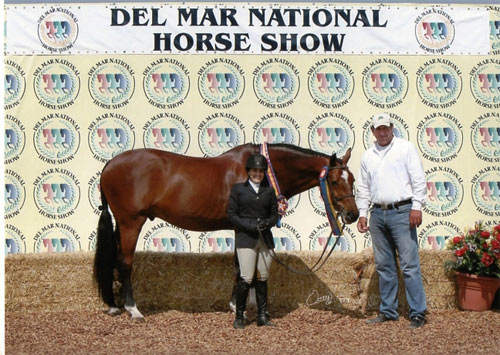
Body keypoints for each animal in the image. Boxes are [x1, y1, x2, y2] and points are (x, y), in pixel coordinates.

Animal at [94, 143, 360, 322]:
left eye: (354, 180)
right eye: (334, 181)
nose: (353, 215)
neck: (260, 172)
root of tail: (109, 165)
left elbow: (242, 265)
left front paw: (241, 304)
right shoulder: (243, 225)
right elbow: (242, 265)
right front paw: (238, 306)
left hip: (122, 224)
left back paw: (114, 305)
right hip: (131, 222)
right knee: (125, 262)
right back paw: (133, 310)